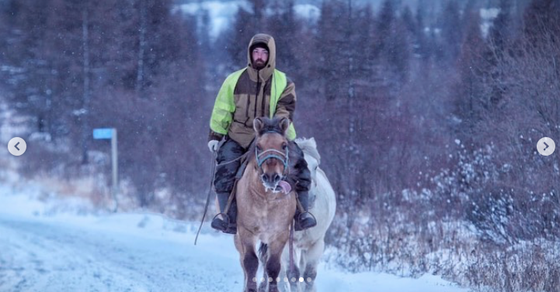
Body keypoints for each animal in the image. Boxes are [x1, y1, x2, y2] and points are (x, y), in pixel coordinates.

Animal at [235, 116, 300, 292]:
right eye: (258, 146)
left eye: (284, 145)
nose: (271, 177)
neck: (267, 200)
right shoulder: (246, 231)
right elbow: (250, 262)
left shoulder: (280, 234)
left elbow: (273, 266)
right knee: (243, 263)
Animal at [258, 138, 336, 292]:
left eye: (316, 166)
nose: (310, 196)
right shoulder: (286, 243)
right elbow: (292, 273)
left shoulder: (316, 243)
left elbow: (309, 274)